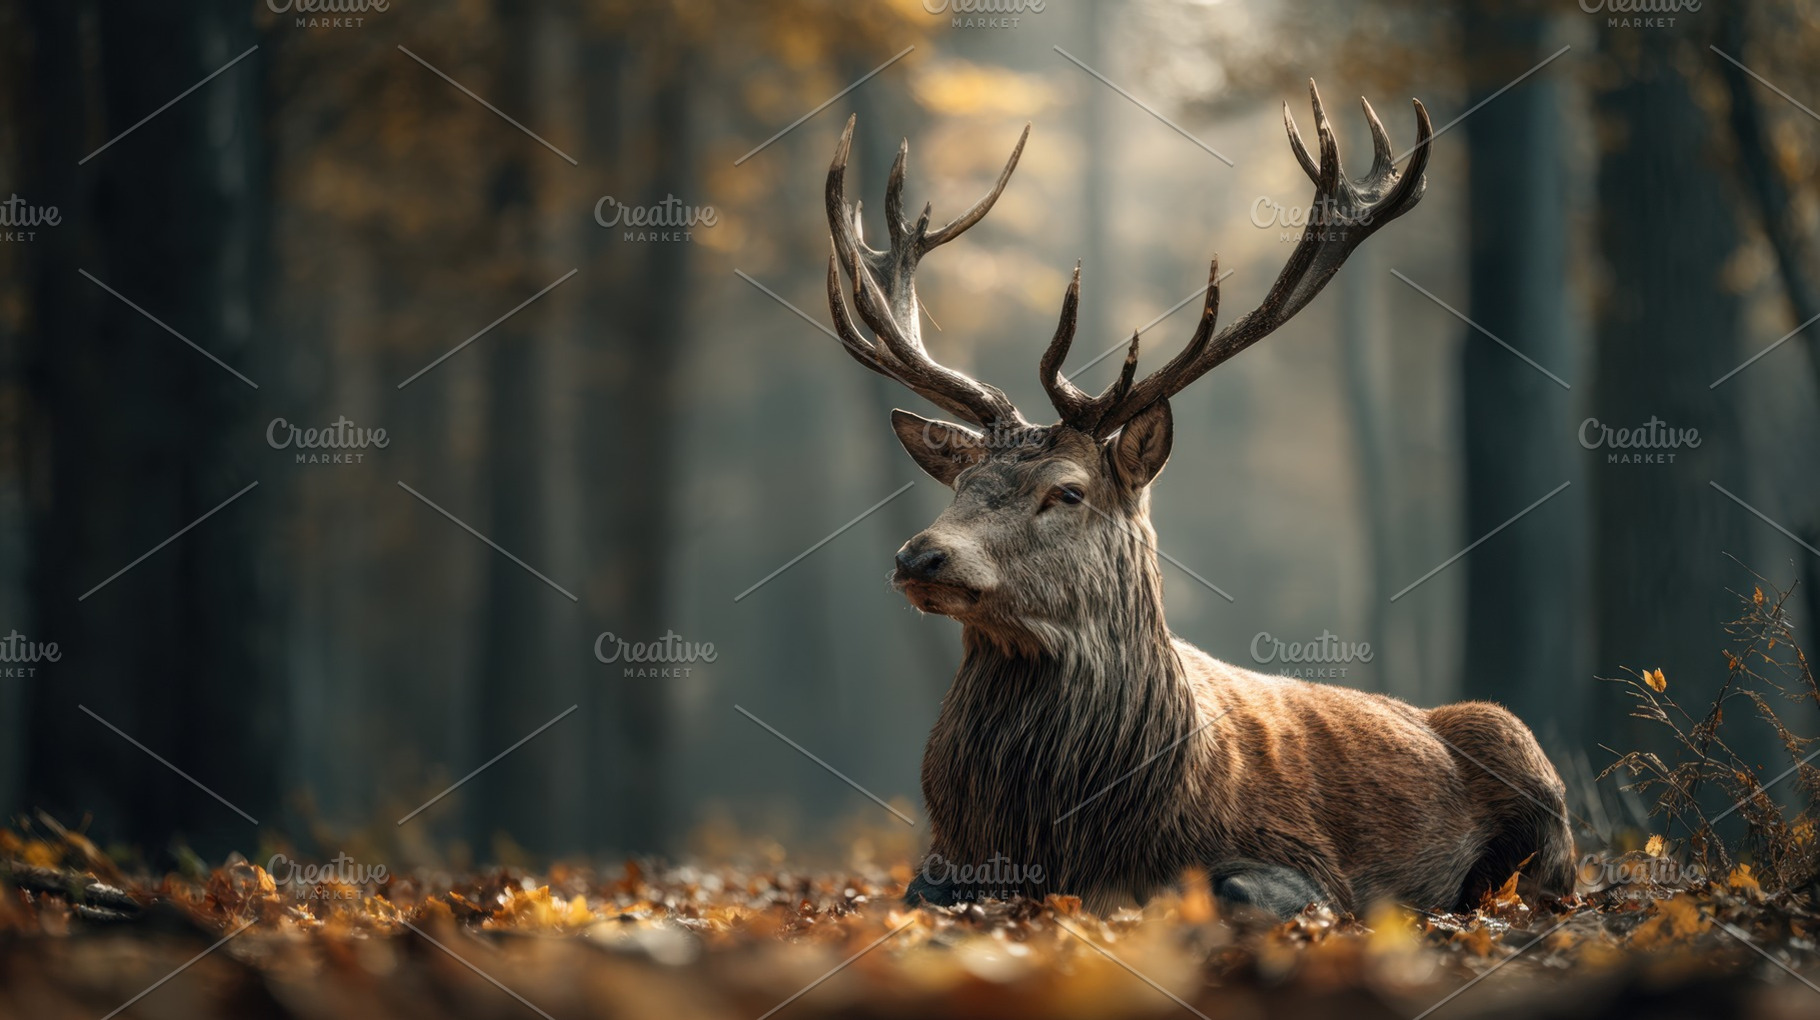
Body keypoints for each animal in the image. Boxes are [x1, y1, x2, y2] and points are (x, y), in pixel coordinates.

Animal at [820, 82, 1576, 919]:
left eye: (1068, 491)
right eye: (958, 484)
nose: (920, 555)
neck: (1057, 835)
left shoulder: (1308, 860)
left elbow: (1239, 889)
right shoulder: (943, 859)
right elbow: (918, 892)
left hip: (1524, 757)